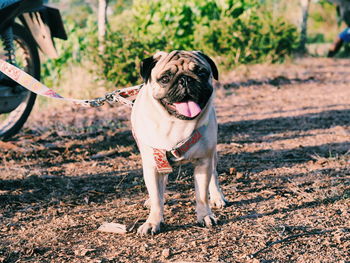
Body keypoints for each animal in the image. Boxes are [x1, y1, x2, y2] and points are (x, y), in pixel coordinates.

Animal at [131, 50, 227, 236]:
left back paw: (217, 197)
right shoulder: (152, 166)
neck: (177, 123)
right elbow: (156, 197)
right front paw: (153, 221)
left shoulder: (203, 162)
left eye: (202, 73)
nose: (185, 80)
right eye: (165, 78)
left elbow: (201, 195)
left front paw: (205, 216)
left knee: (214, 175)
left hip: (212, 155)